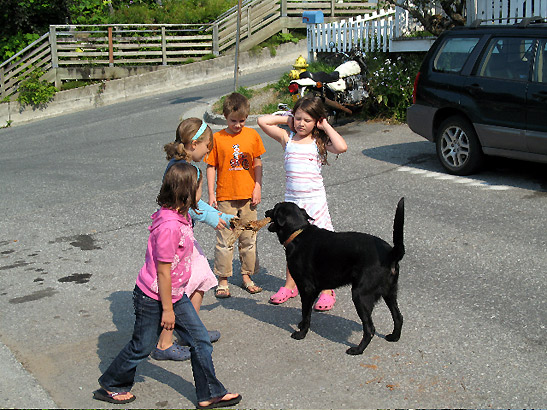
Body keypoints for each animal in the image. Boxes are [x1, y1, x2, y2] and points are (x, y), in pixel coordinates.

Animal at [266, 197, 406, 354]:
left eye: (275, 208)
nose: (265, 212)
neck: (298, 232)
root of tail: (390, 254)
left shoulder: (307, 289)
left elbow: (306, 313)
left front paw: (301, 333)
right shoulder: (313, 290)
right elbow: (306, 312)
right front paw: (301, 325)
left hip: (360, 295)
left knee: (370, 329)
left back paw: (357, 350)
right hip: (390, 293)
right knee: (398, 317)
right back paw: (394, 337)